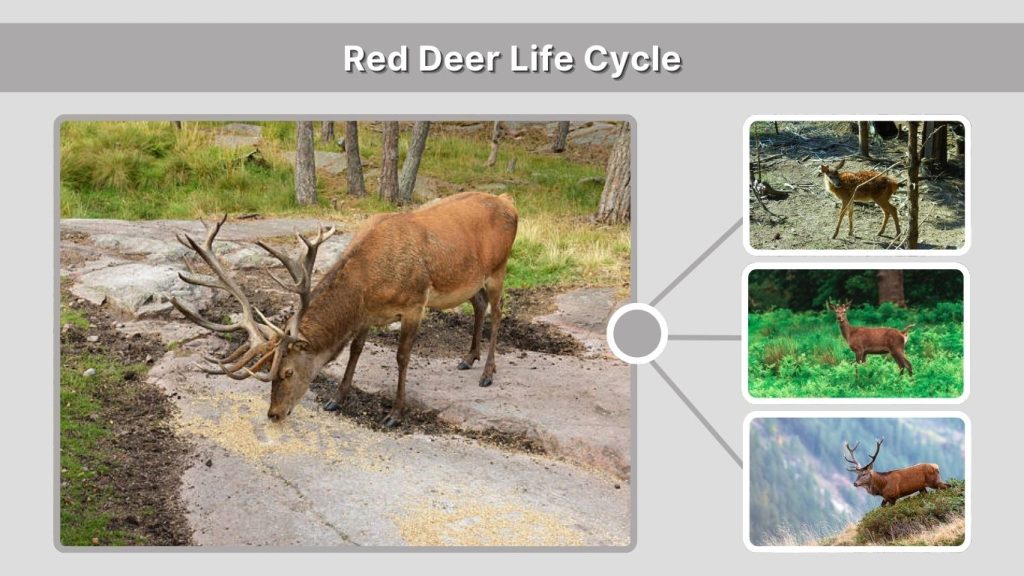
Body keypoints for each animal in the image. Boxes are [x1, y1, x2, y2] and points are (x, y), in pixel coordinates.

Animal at [169, 191, 519, 428]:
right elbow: (355, 350)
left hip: (499, 268)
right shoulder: (367, 313)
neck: (368, 283)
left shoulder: (414, 304)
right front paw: (335, 399)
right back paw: (468, 357)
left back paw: (487, 372)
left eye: (288, 371)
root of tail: (510, 202)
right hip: (472, 280)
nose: (274, 414)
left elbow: (402, 357)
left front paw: (395, 413)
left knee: (499, 313)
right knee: (479, 304)